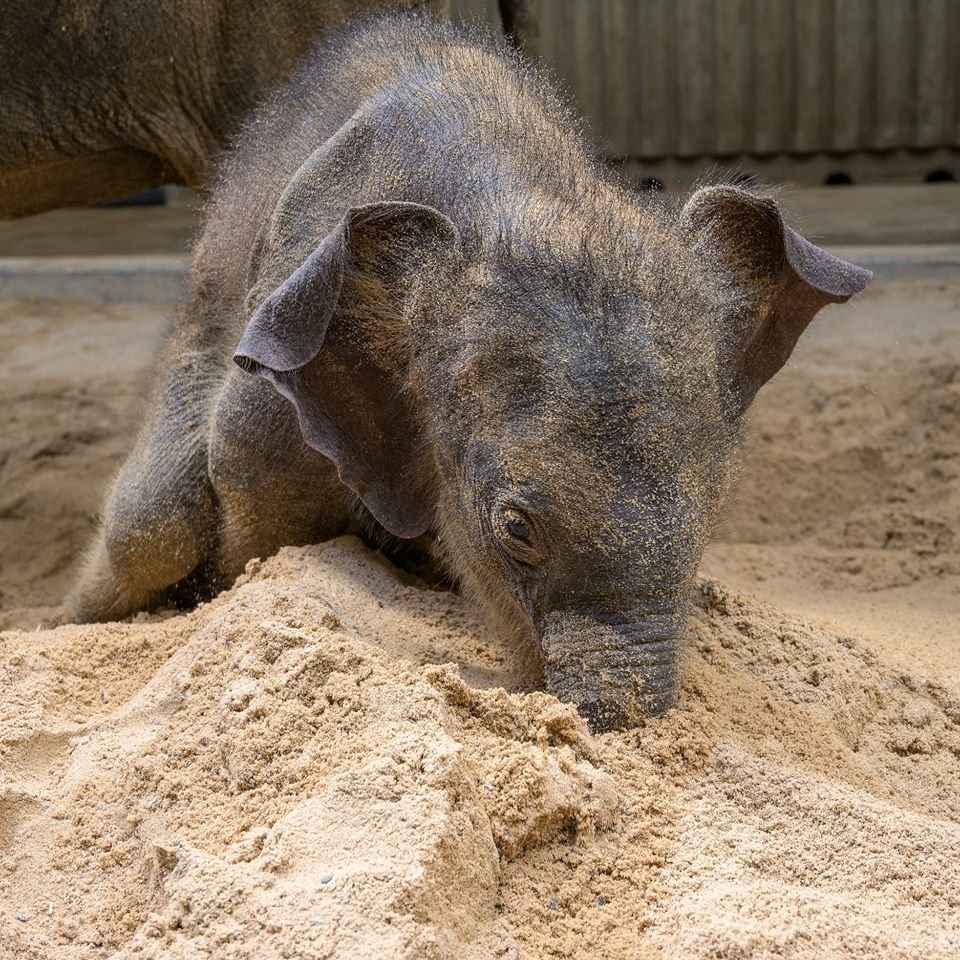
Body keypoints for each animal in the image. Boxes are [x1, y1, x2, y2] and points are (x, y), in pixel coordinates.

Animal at [65, 13, 872, 728]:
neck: (521, 195)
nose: (621, 727)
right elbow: (255, 501)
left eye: (713, 510)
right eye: (515, 529)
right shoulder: (272, 396)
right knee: (148, 526)